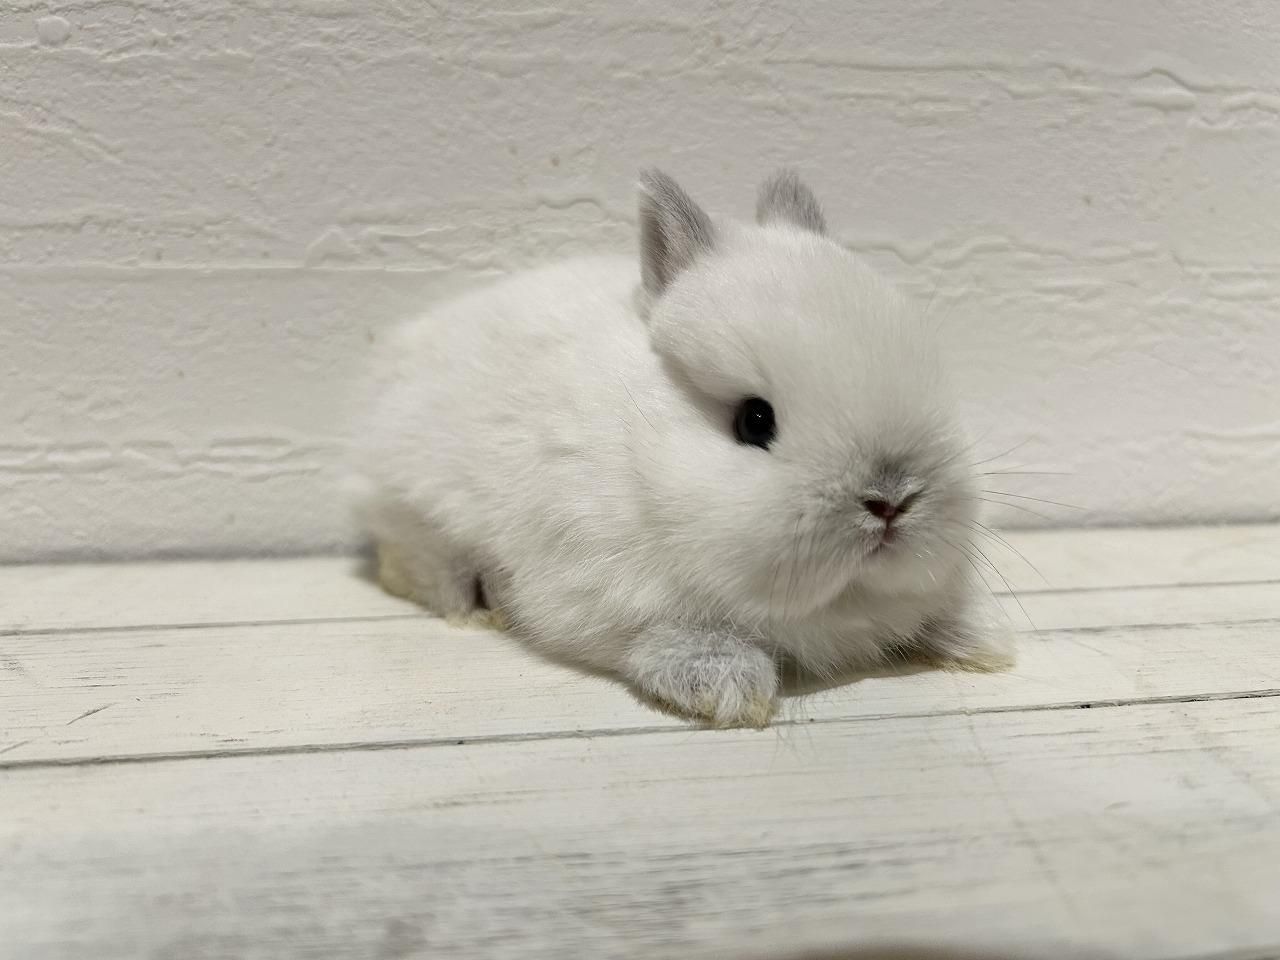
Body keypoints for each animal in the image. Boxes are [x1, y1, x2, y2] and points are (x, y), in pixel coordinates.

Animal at [349, 169, 1014, 728]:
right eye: (754, 421)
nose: (891, 501)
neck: (640, 451)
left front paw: (985, 640)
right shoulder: (596, 592)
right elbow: (654, 637)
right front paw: (730, 688)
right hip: (412, 505)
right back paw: (473, 602)